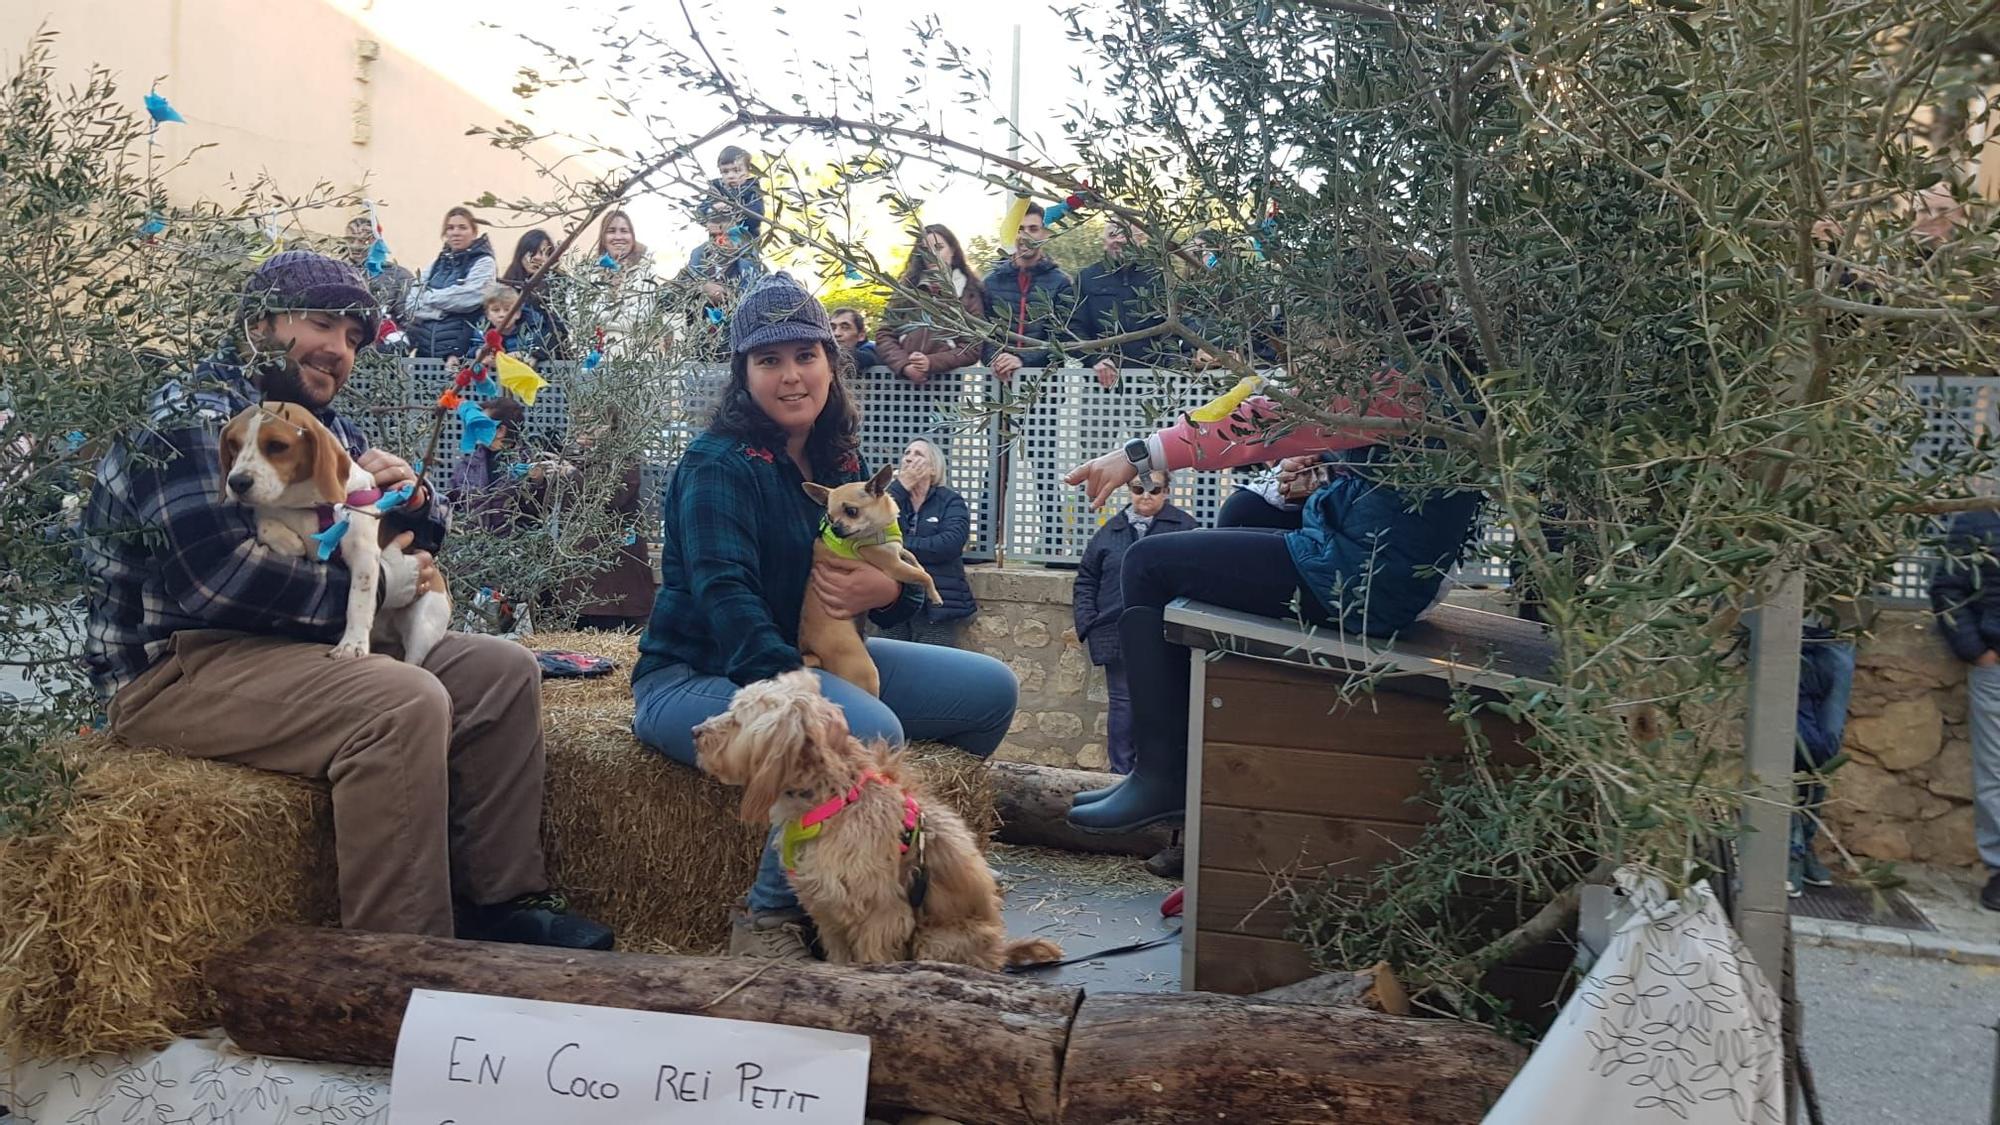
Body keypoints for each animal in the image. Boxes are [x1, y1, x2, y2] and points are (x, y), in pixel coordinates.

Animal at [221, 400, 452, 656]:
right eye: (233, 444)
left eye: (277, 445)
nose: (237, 482)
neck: (306, 504)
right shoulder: (267, 512)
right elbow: (265, 524)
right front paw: (291, 544)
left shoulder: (363, 554)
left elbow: (358, 601)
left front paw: (352, 644)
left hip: (423, 626)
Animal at [692, 668, 1064, 968]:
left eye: (737, 719)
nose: (696, 730)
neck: (835, 799)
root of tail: (999, 950)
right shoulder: (828, 909)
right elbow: (840, 958)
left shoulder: (882, 916)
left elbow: (871, 959)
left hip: (937, 938)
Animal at [800, 462, 940, 692]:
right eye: (829, 517)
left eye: (851, 511)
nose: (835, 528)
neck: (880, 528)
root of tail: (812, 652)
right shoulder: (893, 566)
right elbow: (922, 575)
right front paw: (935, 596)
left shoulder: (897, 551)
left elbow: (914, 559)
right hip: (863, 670)